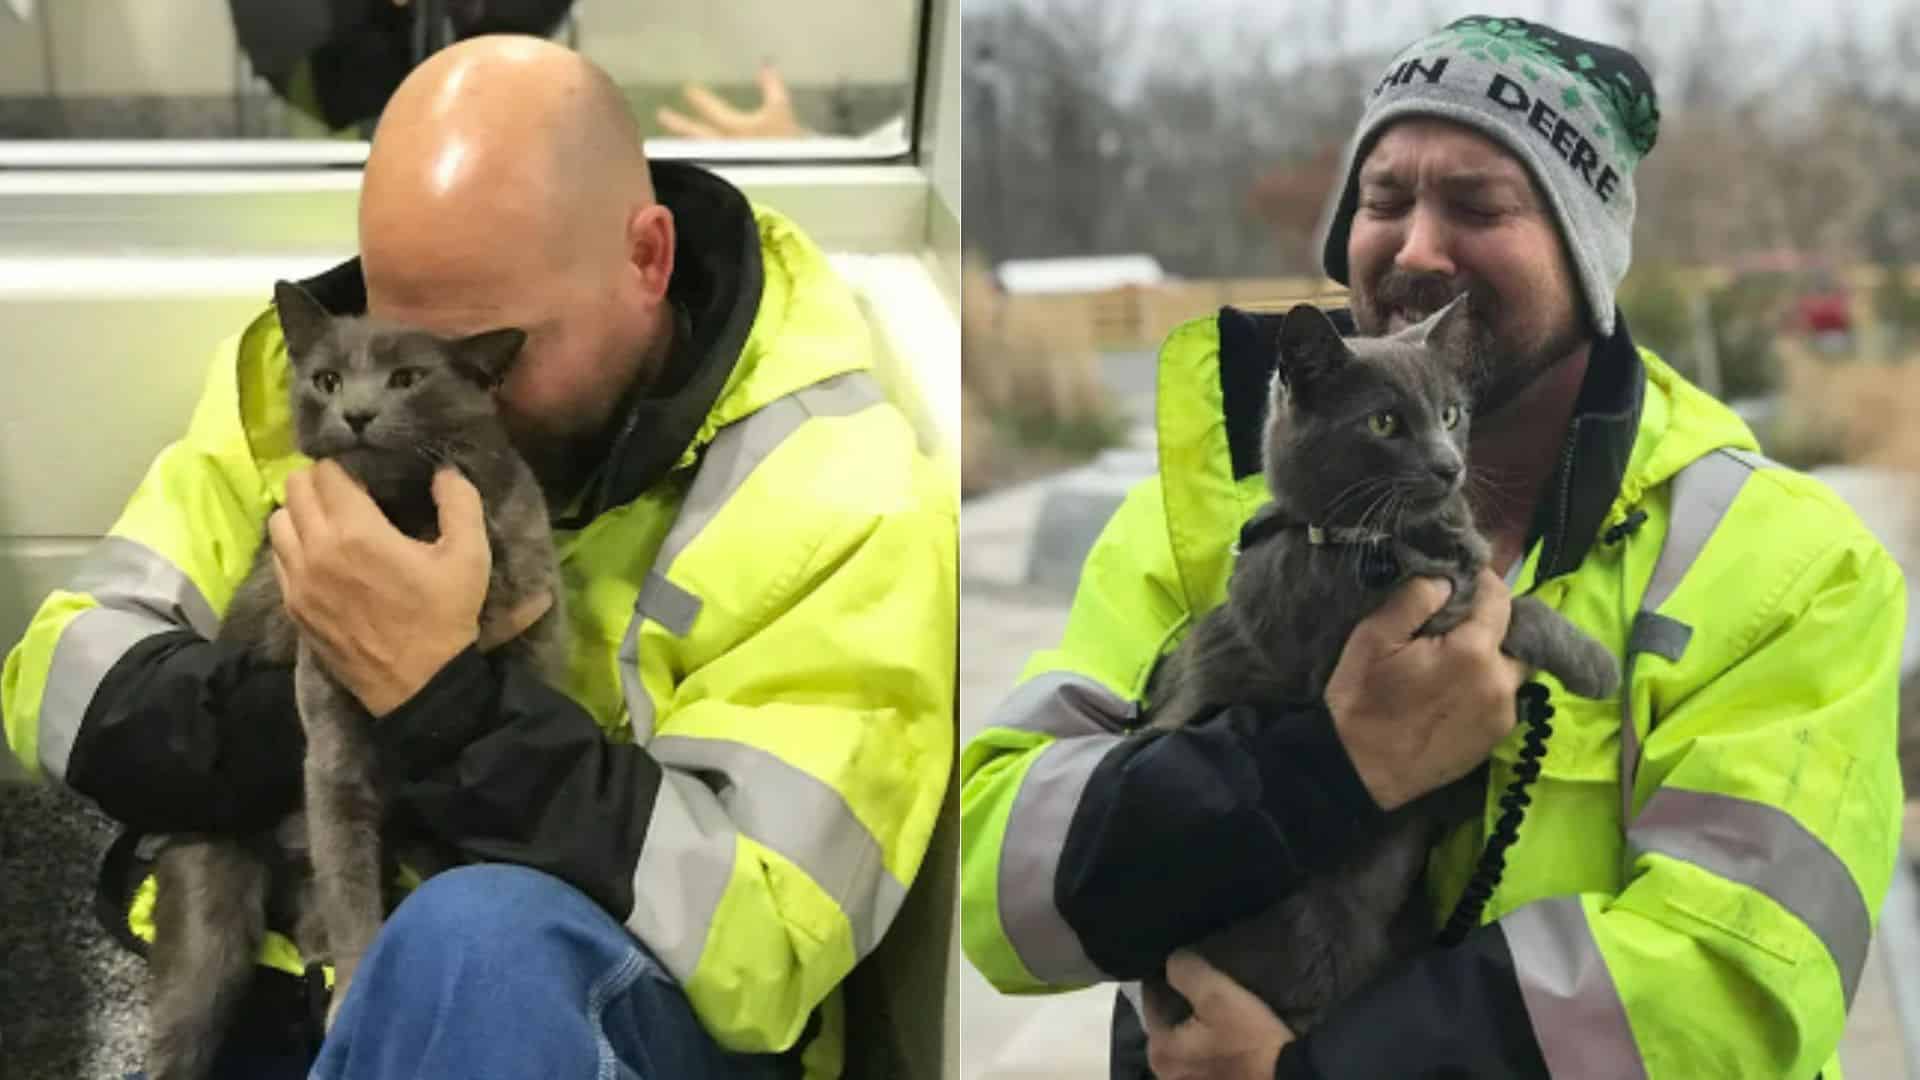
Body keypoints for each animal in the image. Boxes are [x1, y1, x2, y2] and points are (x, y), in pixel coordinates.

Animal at [144, 282, 564, 1068]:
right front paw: (355, 987)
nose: (358, 413)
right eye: (327, 380)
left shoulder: (536, 628)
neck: (409, 520)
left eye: (408, 379)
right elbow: (348, 871)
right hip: (210, 904)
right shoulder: (331, 736)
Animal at [1136, 297, 1620, 1030]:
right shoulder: (1372, 632)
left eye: (1450, 414)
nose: (1448, 466)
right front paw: (1595, 663)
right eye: (1384, 422)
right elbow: (1513, 607)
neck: (1378, 541)